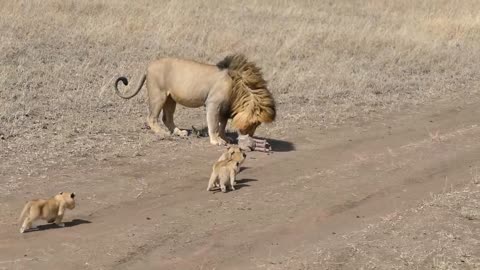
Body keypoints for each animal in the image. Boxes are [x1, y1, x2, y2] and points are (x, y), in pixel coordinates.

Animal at [114, 53, 276, 149]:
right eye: (255, 123)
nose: (250, 136)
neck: (239, 87)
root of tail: (148, 66)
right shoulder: (213, 104)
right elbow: (214, 125)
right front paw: (216, 140)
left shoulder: (225, 108)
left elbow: (222, 125)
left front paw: (225, 138)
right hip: (158, 94)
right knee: (152, 117)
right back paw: (162, 133)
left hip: (170, 98)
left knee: (167, 118)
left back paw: (179, 132)